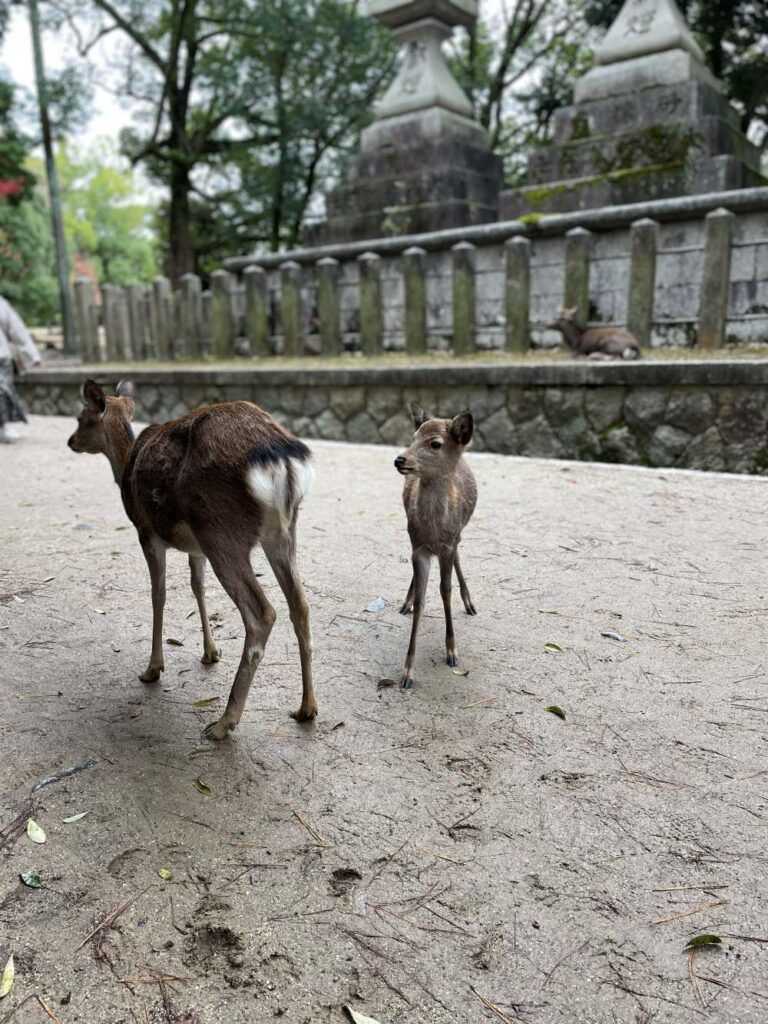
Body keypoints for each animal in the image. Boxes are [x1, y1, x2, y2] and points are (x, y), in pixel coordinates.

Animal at [67, 379, 317, 741]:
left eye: (80, 417)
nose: (71, 441)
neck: (125, 463)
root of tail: (280, 459)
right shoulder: (196, 550)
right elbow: (197, 587)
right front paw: (210, 652)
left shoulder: (146, 531)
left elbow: (158, 594)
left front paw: (152, 668)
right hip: (281, 532)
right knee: (301, 605)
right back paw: (307, 708)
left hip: (220, 531)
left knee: (262, 613)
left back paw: (223, 723)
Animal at [393, 401, 477, 690]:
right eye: (413, 437)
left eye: (435, 444)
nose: (400, 459)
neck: (433, 530)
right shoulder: (418, 547)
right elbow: (421, 599)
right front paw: (407, 672)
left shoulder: (448, 545)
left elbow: (445, 591)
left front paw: (452, 652)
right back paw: (405, 601)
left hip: (459, 530)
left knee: (460, 553)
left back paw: (470, 602)